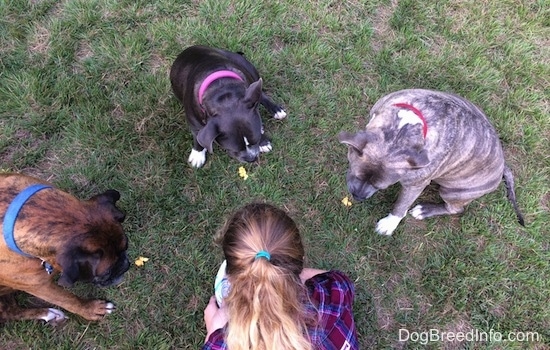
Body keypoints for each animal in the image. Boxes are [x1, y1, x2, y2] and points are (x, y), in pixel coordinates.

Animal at [0, 174, 130, 324]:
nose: (125, 265)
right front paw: (91, 309)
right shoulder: (40, 287)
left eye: (126, 247)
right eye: (106, 272)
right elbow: (68, 299)